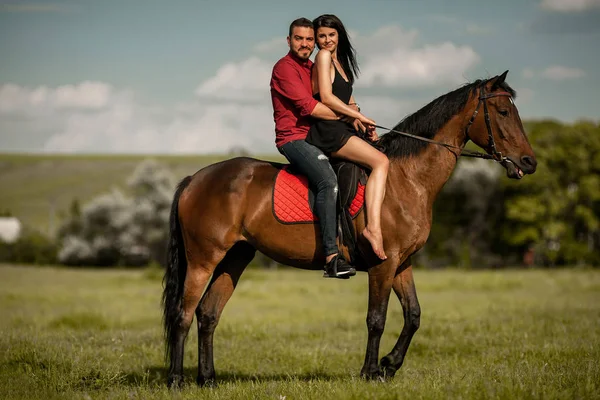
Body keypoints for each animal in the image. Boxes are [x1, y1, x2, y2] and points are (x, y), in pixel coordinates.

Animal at [162, 71, 536, 388]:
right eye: (504, 111)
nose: (529, 162)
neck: (404, 179)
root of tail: (195, 179)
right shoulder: (383, 264)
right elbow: (377, 319)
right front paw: (371, 371)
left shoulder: (402, 263)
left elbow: (413, 315)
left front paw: (389, 366)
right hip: (203, 260)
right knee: (184, 314)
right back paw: (177, 380)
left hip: (236, 257)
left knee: (208, 314)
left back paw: (208, 379)